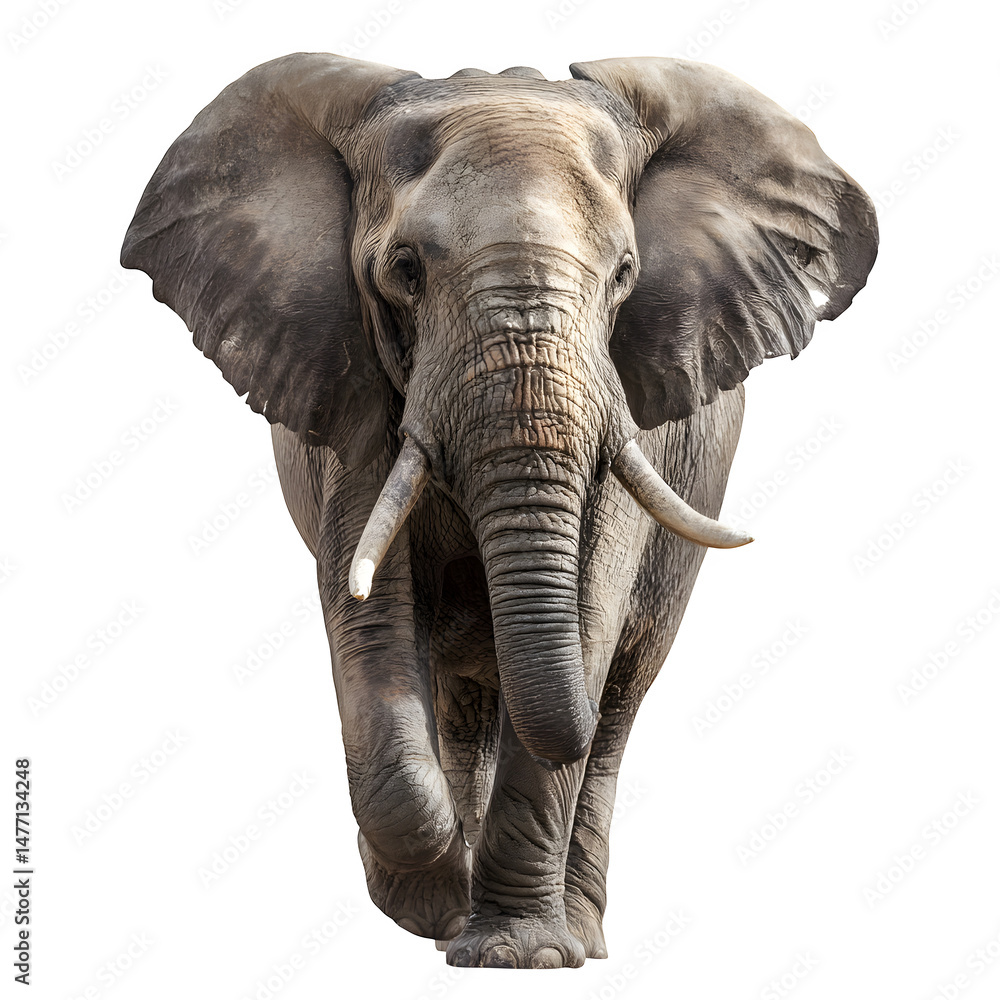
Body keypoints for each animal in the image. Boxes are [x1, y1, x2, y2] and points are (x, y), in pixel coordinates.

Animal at [121, 53, 877, 968]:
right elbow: (368, 612)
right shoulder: (352, 391)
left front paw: (519, 956)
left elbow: (587, 617)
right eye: (403, 270)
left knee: (619, 700)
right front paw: (437, 903)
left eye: (625, 275)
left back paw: (579, 933)